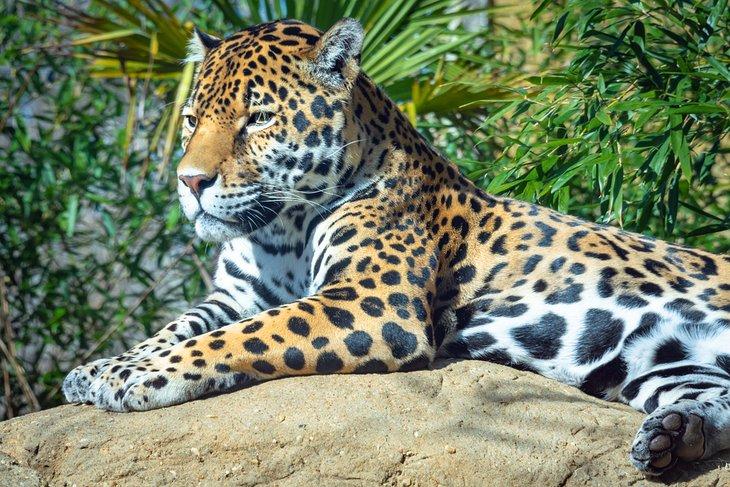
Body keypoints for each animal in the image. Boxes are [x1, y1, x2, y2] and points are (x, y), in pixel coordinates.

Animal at [62, 18, 730, 476]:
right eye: (192, 118)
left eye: (258, 120)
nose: (190, 182)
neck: (280, 228)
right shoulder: (236, 294)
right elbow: (183, 326)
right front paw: (99, 368)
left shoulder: (370, 300)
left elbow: (238, 337)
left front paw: (133, 377)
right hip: (662, 359)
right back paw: (674, 436)